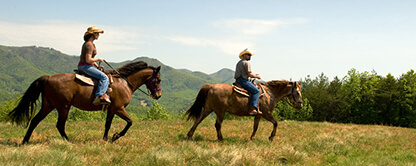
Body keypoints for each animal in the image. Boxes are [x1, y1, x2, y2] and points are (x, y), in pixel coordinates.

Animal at [8, 61, 161, 144]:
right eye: (158, 80)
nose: (158, 95)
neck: (124, 82)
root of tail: (48, 78)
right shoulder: (119, 108)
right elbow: (129, 122)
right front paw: (116, 136)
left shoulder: (111, 109)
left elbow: (107, 125)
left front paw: (106, 139)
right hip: (63, 107)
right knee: (59, 125)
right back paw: (68, 141)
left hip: (48, 105)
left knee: (35, 121)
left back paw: (25, 141)